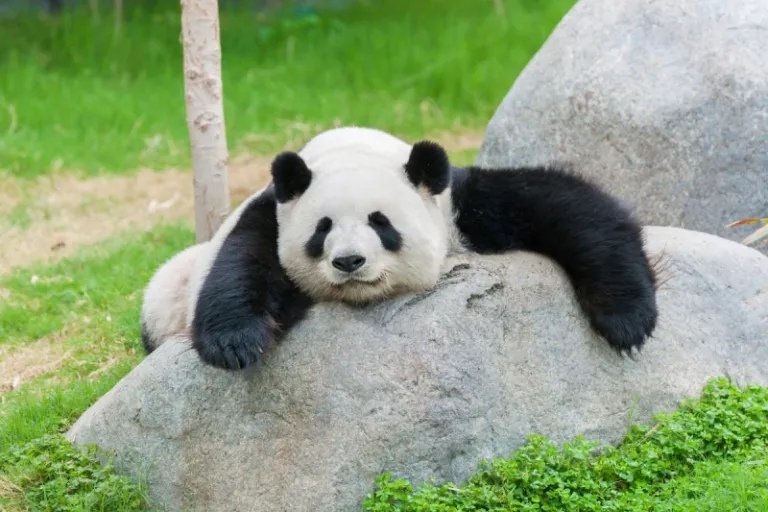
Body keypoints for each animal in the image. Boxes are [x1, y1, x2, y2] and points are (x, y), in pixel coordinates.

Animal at [140, 126, 658, 371]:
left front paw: (626, 319)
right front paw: (235, 342)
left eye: (381, 222)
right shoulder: (271, 213)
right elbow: (242, 263)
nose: (349, 261)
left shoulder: (458, 204)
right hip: (166, 295)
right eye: (322, 229)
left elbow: (566, 206)